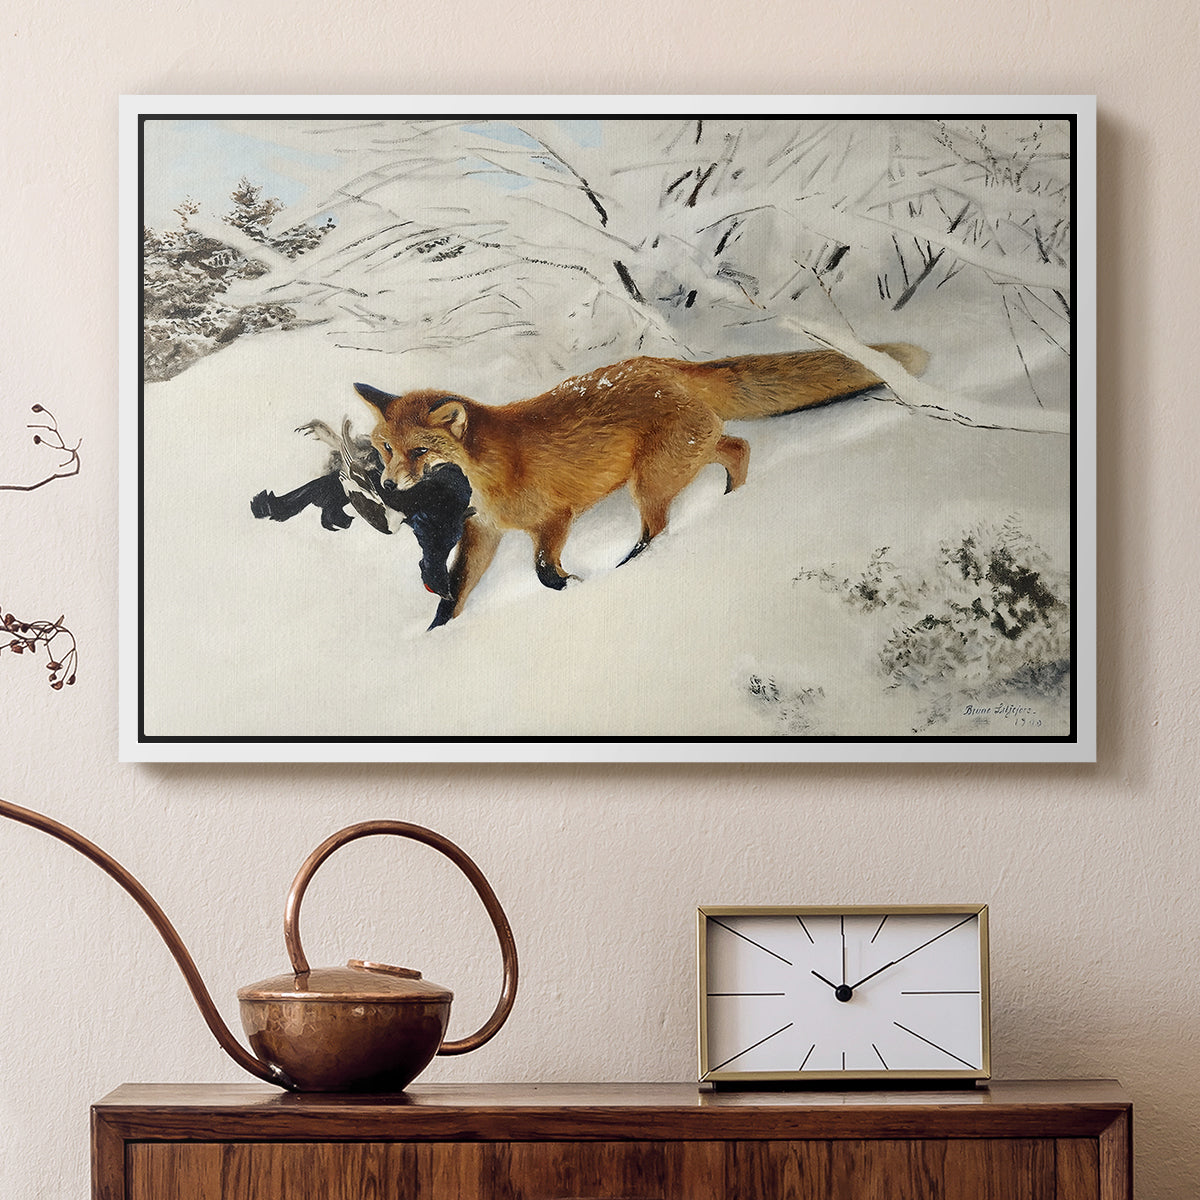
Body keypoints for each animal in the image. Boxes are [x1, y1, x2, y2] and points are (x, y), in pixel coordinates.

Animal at [355, 342, 929, 627]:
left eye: (419, 452)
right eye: (385, 448)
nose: (388, 483)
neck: (490, 472)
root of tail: (666, 364)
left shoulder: (554, 518)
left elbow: (543, 572)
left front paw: (575, 586)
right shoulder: (483, 532)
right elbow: (454, 593)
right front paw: (437, 635)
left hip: (650, 482)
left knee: (660, 527)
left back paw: (635, 564)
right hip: (682, 459)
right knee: (738, 447)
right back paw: (731, 500)